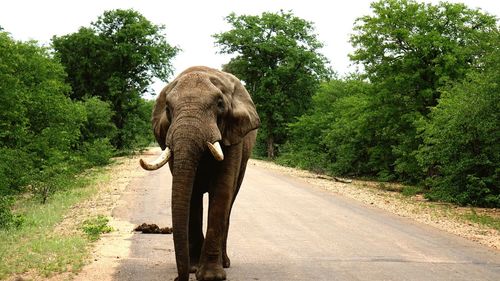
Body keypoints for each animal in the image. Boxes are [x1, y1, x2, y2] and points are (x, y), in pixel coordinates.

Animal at [140, 66, 260, 280]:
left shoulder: (233, 136)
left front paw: (210, 276)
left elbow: (221, 191)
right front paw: (194, 269)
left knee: (230, 202)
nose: (178, 278)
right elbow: (192, 195)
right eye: (168, 109)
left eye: (220, 104)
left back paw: (225, 263)